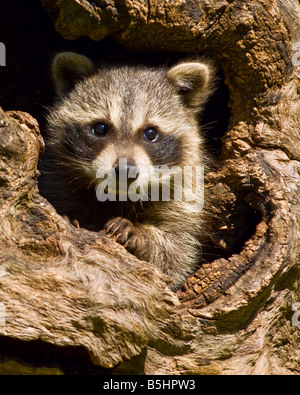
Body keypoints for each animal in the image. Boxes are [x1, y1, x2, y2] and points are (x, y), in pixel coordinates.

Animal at [39, 51, 213, 290]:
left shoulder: (185, 192)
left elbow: (177, 252)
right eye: (100, 128)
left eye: (151, 133)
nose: (125, 170)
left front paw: (140, 233)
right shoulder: (55, 175)